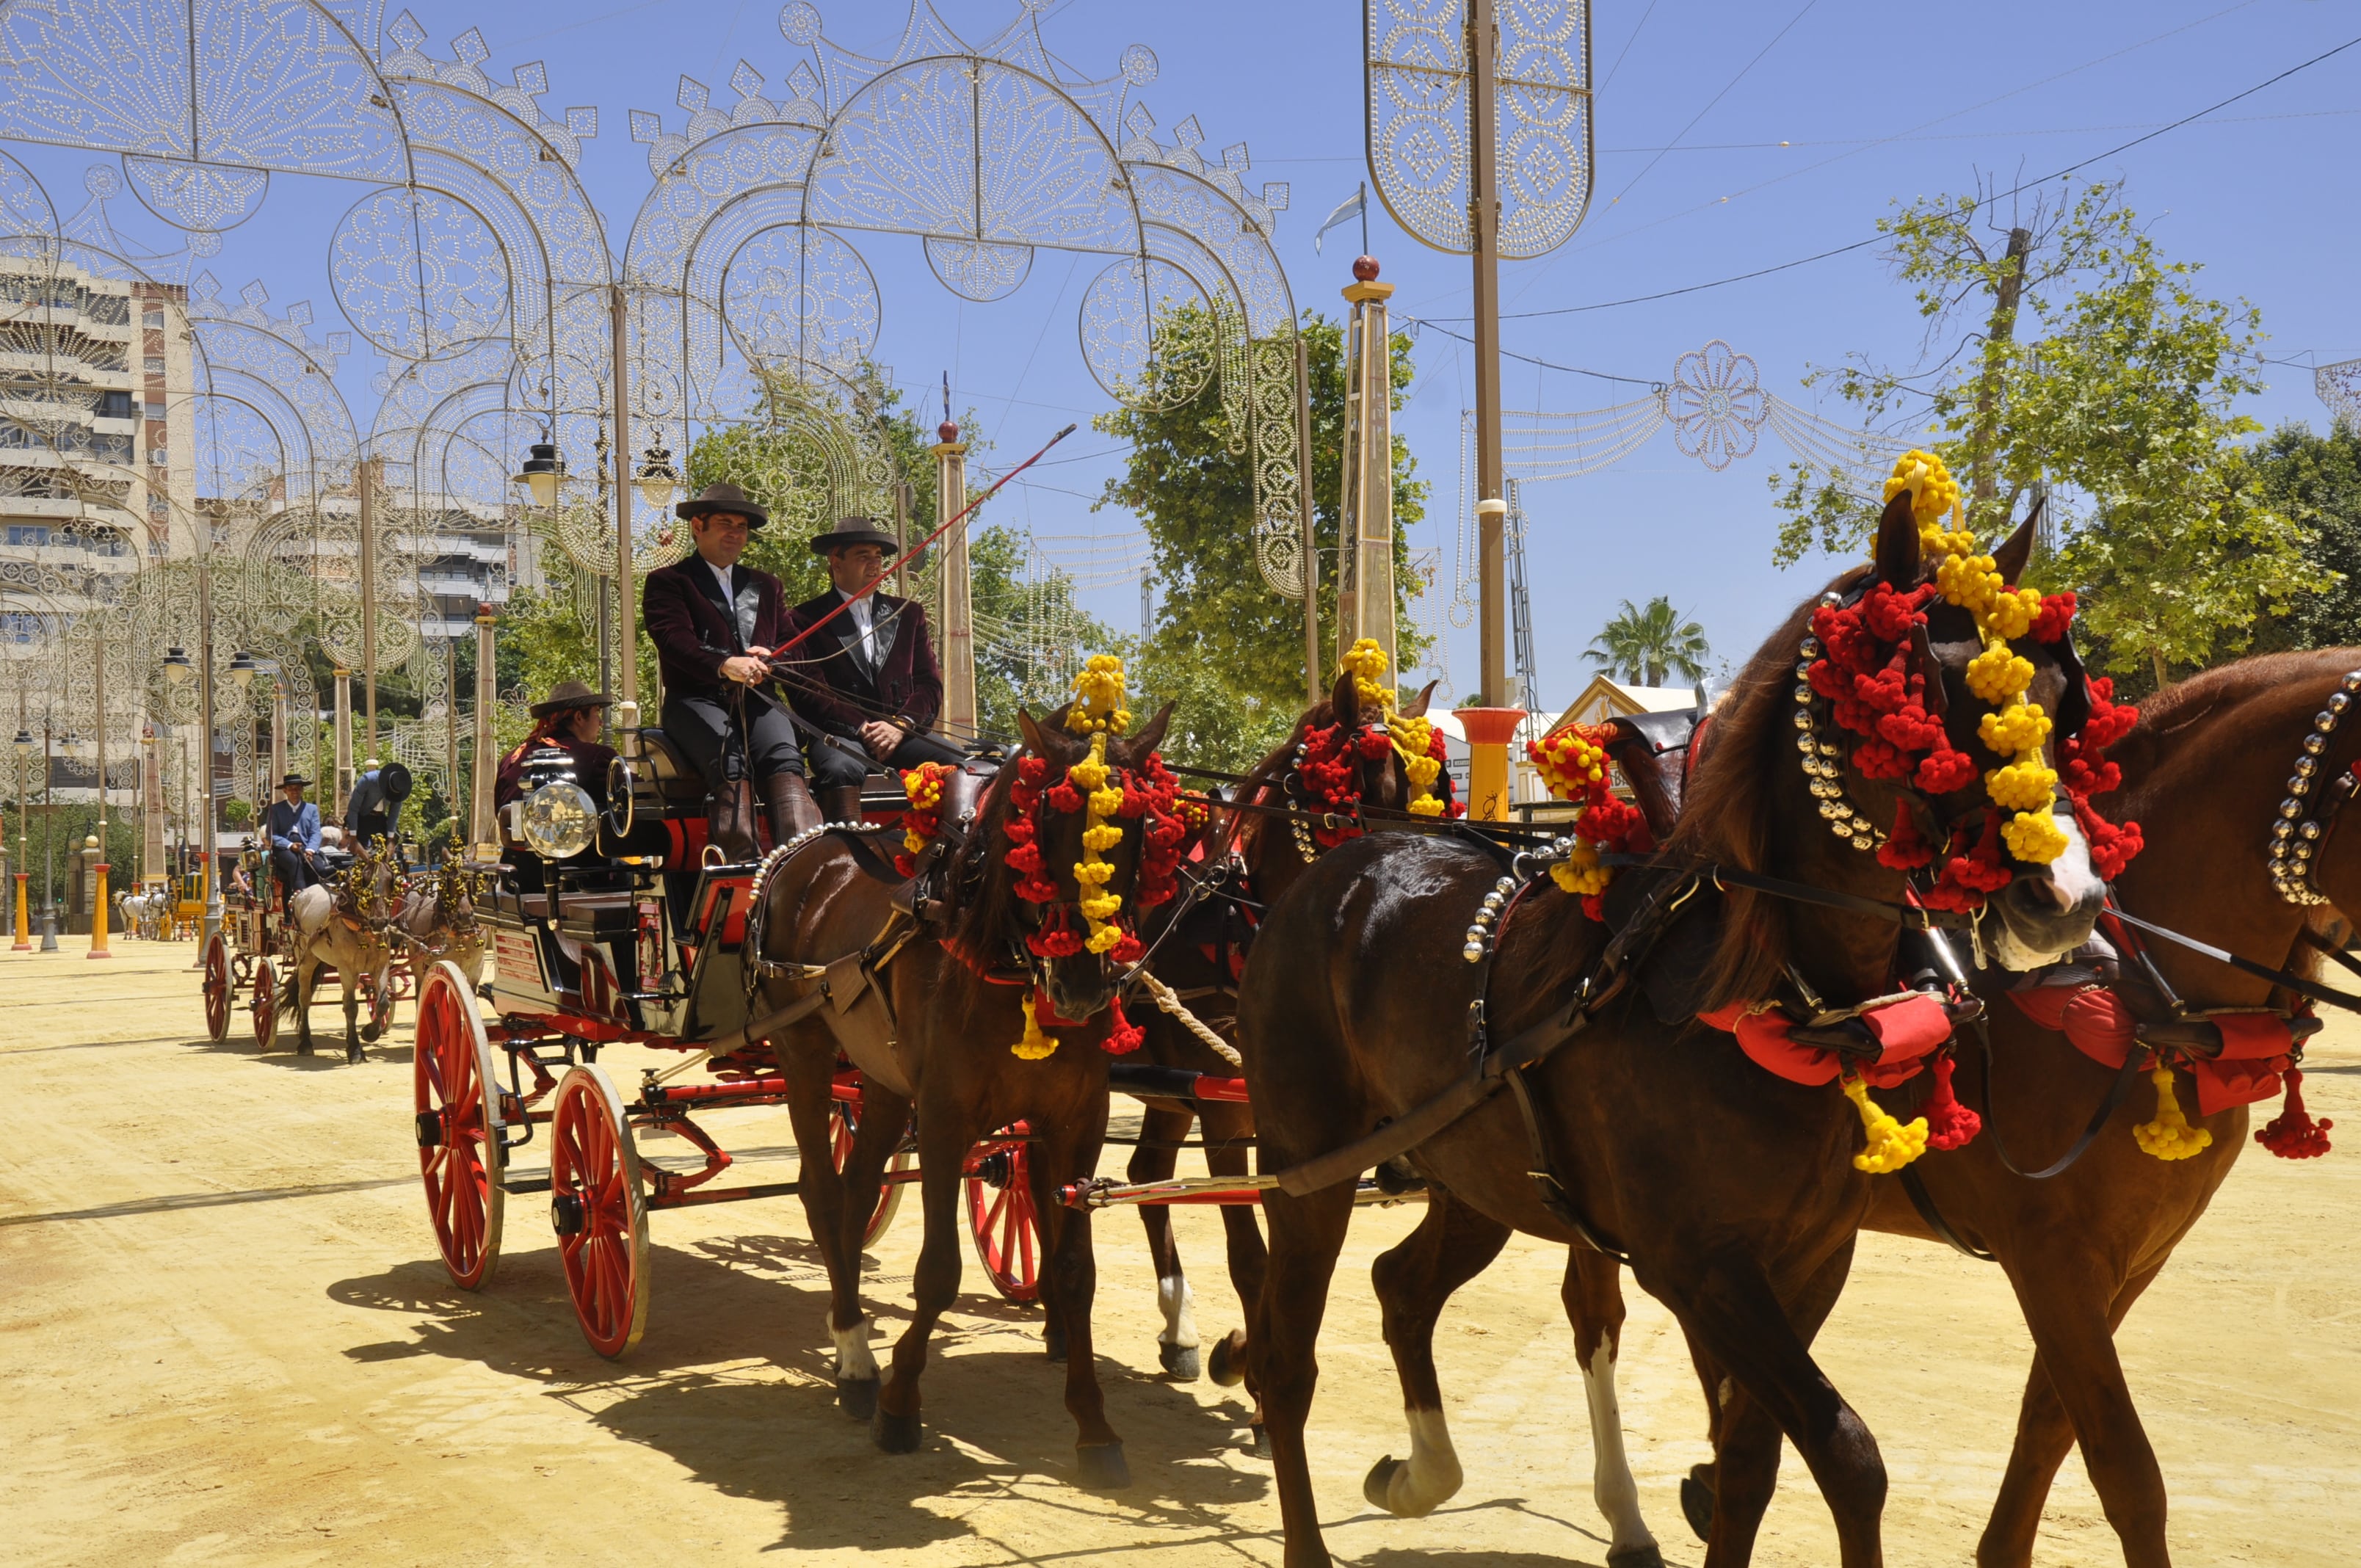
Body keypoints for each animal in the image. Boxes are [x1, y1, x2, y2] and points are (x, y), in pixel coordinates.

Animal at [755, 694, 1171, 1483]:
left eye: (1138, 826)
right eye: (1044, 824)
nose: (1081, 986)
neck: (1006, 958)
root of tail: (807, 850)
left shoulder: (1078, 1122)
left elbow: (1074, 1271)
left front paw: (1094, 1426)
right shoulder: (946, 1119)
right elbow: (939, 1272)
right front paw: (899, 1405)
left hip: (882, 1081)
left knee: (856, 1192)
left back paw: (850, 1340)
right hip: (804, 1052)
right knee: (821, 1193)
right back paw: (856, 1356)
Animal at [1237, 498, 2106, 1568]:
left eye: (2062, 695)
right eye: (1925, 694)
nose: (2065, 898)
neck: (1765, 988)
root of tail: (1327, 880)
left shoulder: (1810, 1261)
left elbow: (1750, 1464)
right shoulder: (1701, 1270)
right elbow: (1846, 1455)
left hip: (1475, 1173)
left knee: (1402, 1287)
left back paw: (1418, 1472)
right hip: (1308, 1172)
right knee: (1285, 1364)